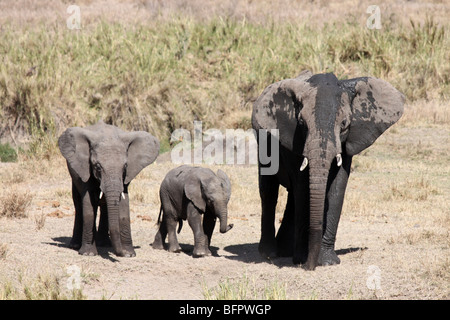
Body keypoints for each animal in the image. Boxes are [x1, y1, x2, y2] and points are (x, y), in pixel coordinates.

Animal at [59, 120, 159, 258]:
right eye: (97, 166)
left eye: (125, 166)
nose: (119, 253)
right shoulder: (85, 169)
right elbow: (89, 206)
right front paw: (88, 254)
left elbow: (124, 207)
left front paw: (129, 254)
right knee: (79, 205)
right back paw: (75, 245)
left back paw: (104, 244)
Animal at [253, 70, 404, 270]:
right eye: (301, 122)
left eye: (344, 124)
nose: (309, 267)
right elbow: (303, 188)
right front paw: (301, 259)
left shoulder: (347, 143)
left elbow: (337, 187)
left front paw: (327, 262)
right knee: (269, 191)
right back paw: (270, 253)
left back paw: (285, 250)